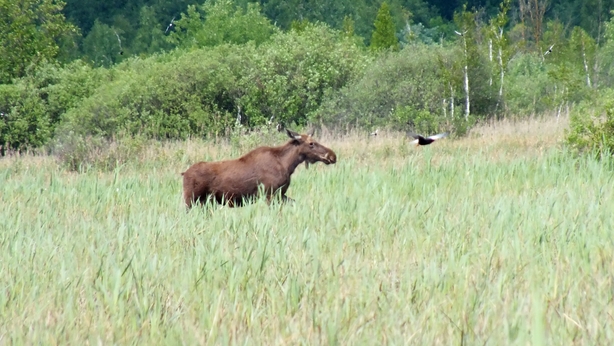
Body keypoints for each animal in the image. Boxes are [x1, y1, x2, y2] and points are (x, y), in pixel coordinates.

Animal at [180, 128, 340, 207]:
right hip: (191, 199)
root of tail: (184, 173)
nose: (332, 155)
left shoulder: (280, 194)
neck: (288, 165)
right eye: (311, 143)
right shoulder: (268, 194)